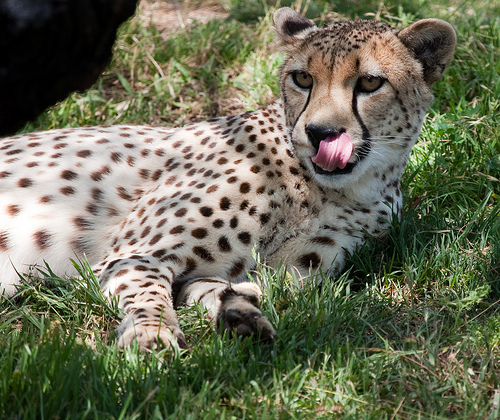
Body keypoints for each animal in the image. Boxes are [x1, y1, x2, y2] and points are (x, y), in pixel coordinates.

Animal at [0, 8, 456, 351]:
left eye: (370, 82)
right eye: (303, 79)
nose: (320, 133)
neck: (330, 191)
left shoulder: (294, 271)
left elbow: (232, 286)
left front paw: (239, 314)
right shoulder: (132, 255)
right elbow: (149, 296)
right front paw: (151, 337)